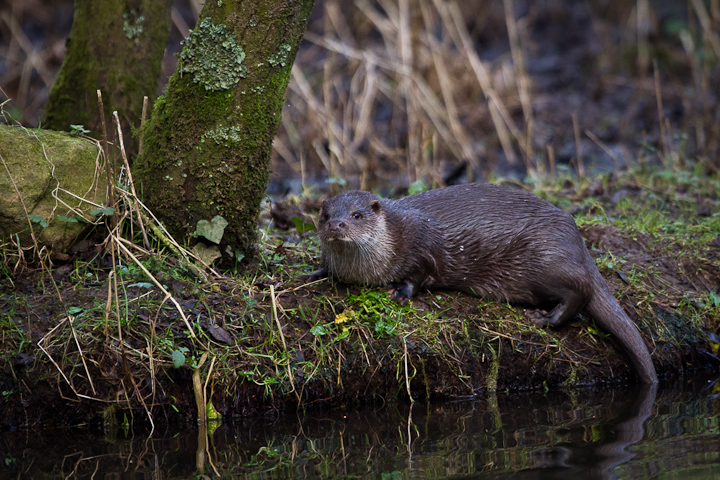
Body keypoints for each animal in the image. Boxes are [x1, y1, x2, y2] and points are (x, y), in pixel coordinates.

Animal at [304, 184, 657, 385]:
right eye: (326, 215)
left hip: (545, 258)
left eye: (357, 214)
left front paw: (401, 291)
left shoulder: (421, 247)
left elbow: (419, 274)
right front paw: (315, 272)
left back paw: (545, 318)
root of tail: (575, 237)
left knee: (581, 289)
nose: (337, 224)